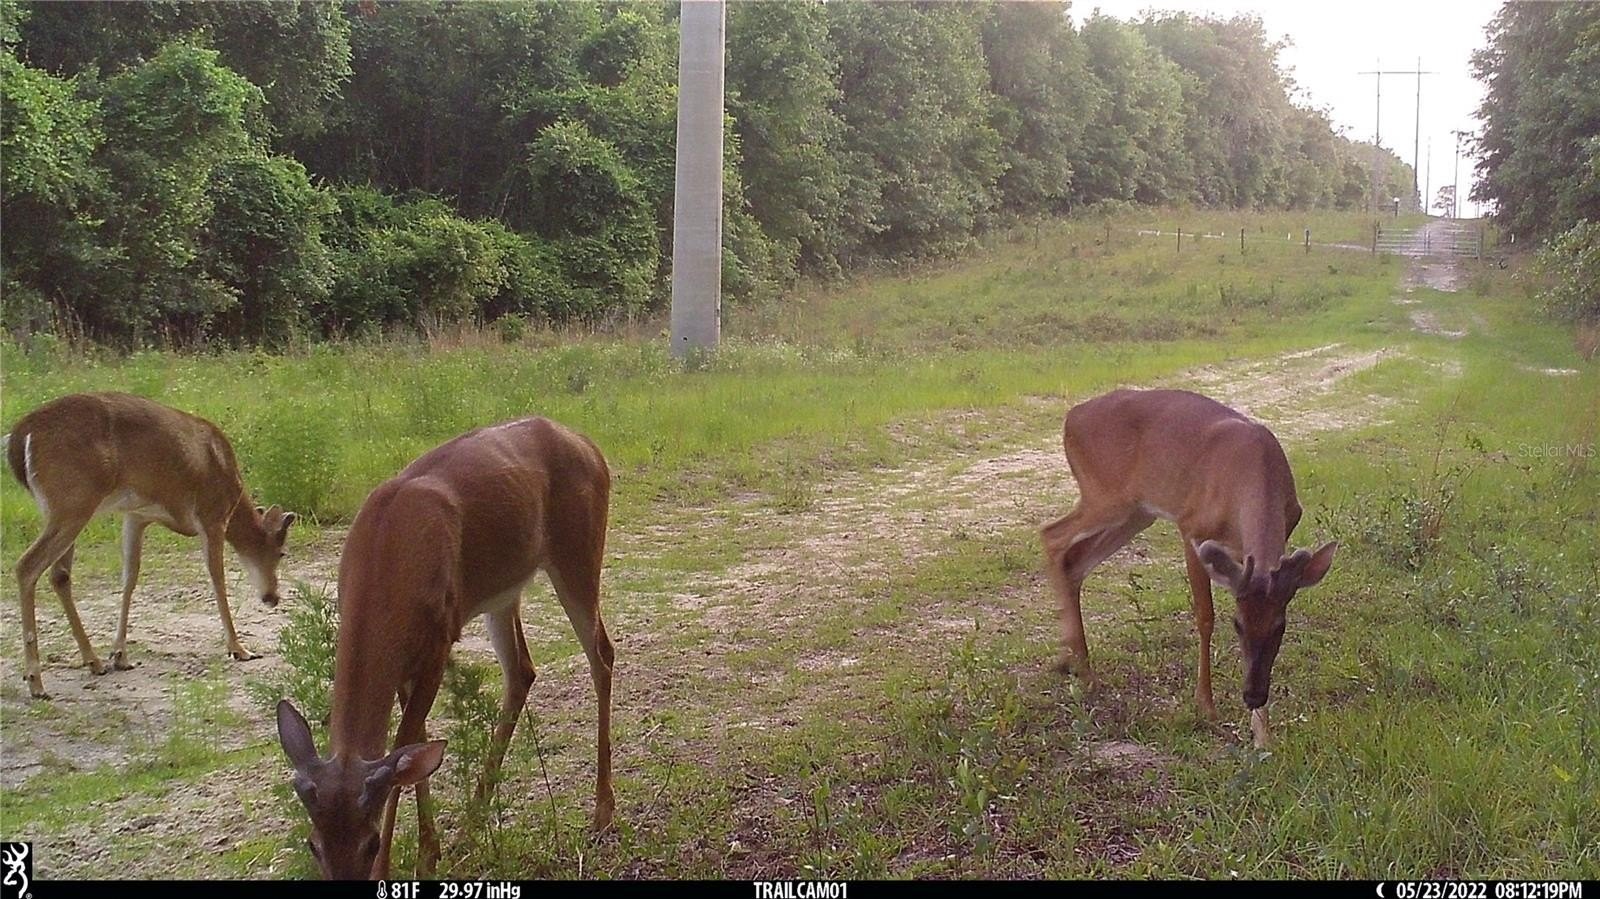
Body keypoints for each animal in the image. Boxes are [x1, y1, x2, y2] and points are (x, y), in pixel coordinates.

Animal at [5, 388, 300, 697]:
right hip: (72, 502)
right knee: (27, 566)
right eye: (282, 553)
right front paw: (239, 648)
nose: (273, 598)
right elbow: (217, 577)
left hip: (65, 509)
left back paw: (93, 661)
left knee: (59, 574)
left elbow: (129, 577)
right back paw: (36, 681)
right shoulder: (212, 514)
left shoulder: (137, 515)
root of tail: (19, 439)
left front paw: (120, 655)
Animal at [278, 415, 614, 876]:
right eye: (314, 844)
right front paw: (430, 851)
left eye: (371, 843)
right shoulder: (405, 660)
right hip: (504, 590)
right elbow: (412, 746)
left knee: (601, 654)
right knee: (522, 671)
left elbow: (405, 751)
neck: (384, 557)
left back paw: (601, 812)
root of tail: (589, 445)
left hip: (578, 552)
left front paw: (407, 864)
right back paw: (471, 826)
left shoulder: (438, 639)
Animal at [1036, 388, 1337, 745]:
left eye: (1280, 626)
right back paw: (1078, 666)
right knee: (1052, 536)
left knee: (1075, 561)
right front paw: (1206, 707)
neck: (1253, 472)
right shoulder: (1192, 527)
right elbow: (1205, 615)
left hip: (1137, 512)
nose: (1253, 695)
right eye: (1237, 624)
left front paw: (1262, 734)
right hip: (1104, 496)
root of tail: (1071, 417)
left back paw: (1077, 665)